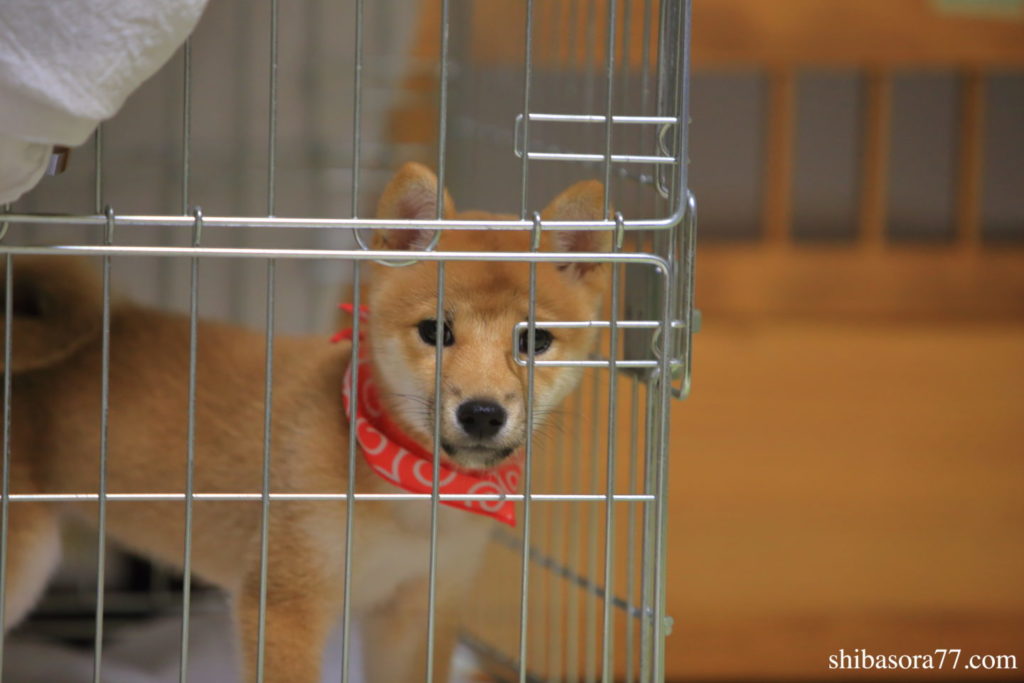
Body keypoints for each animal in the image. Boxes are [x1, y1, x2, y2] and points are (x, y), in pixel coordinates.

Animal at [0, 162, 606, 679]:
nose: (481, 413)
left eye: (534, 341)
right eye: (435, 331)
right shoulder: (285, 602)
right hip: (22, 562)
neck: (402, 497)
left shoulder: (416, 611)